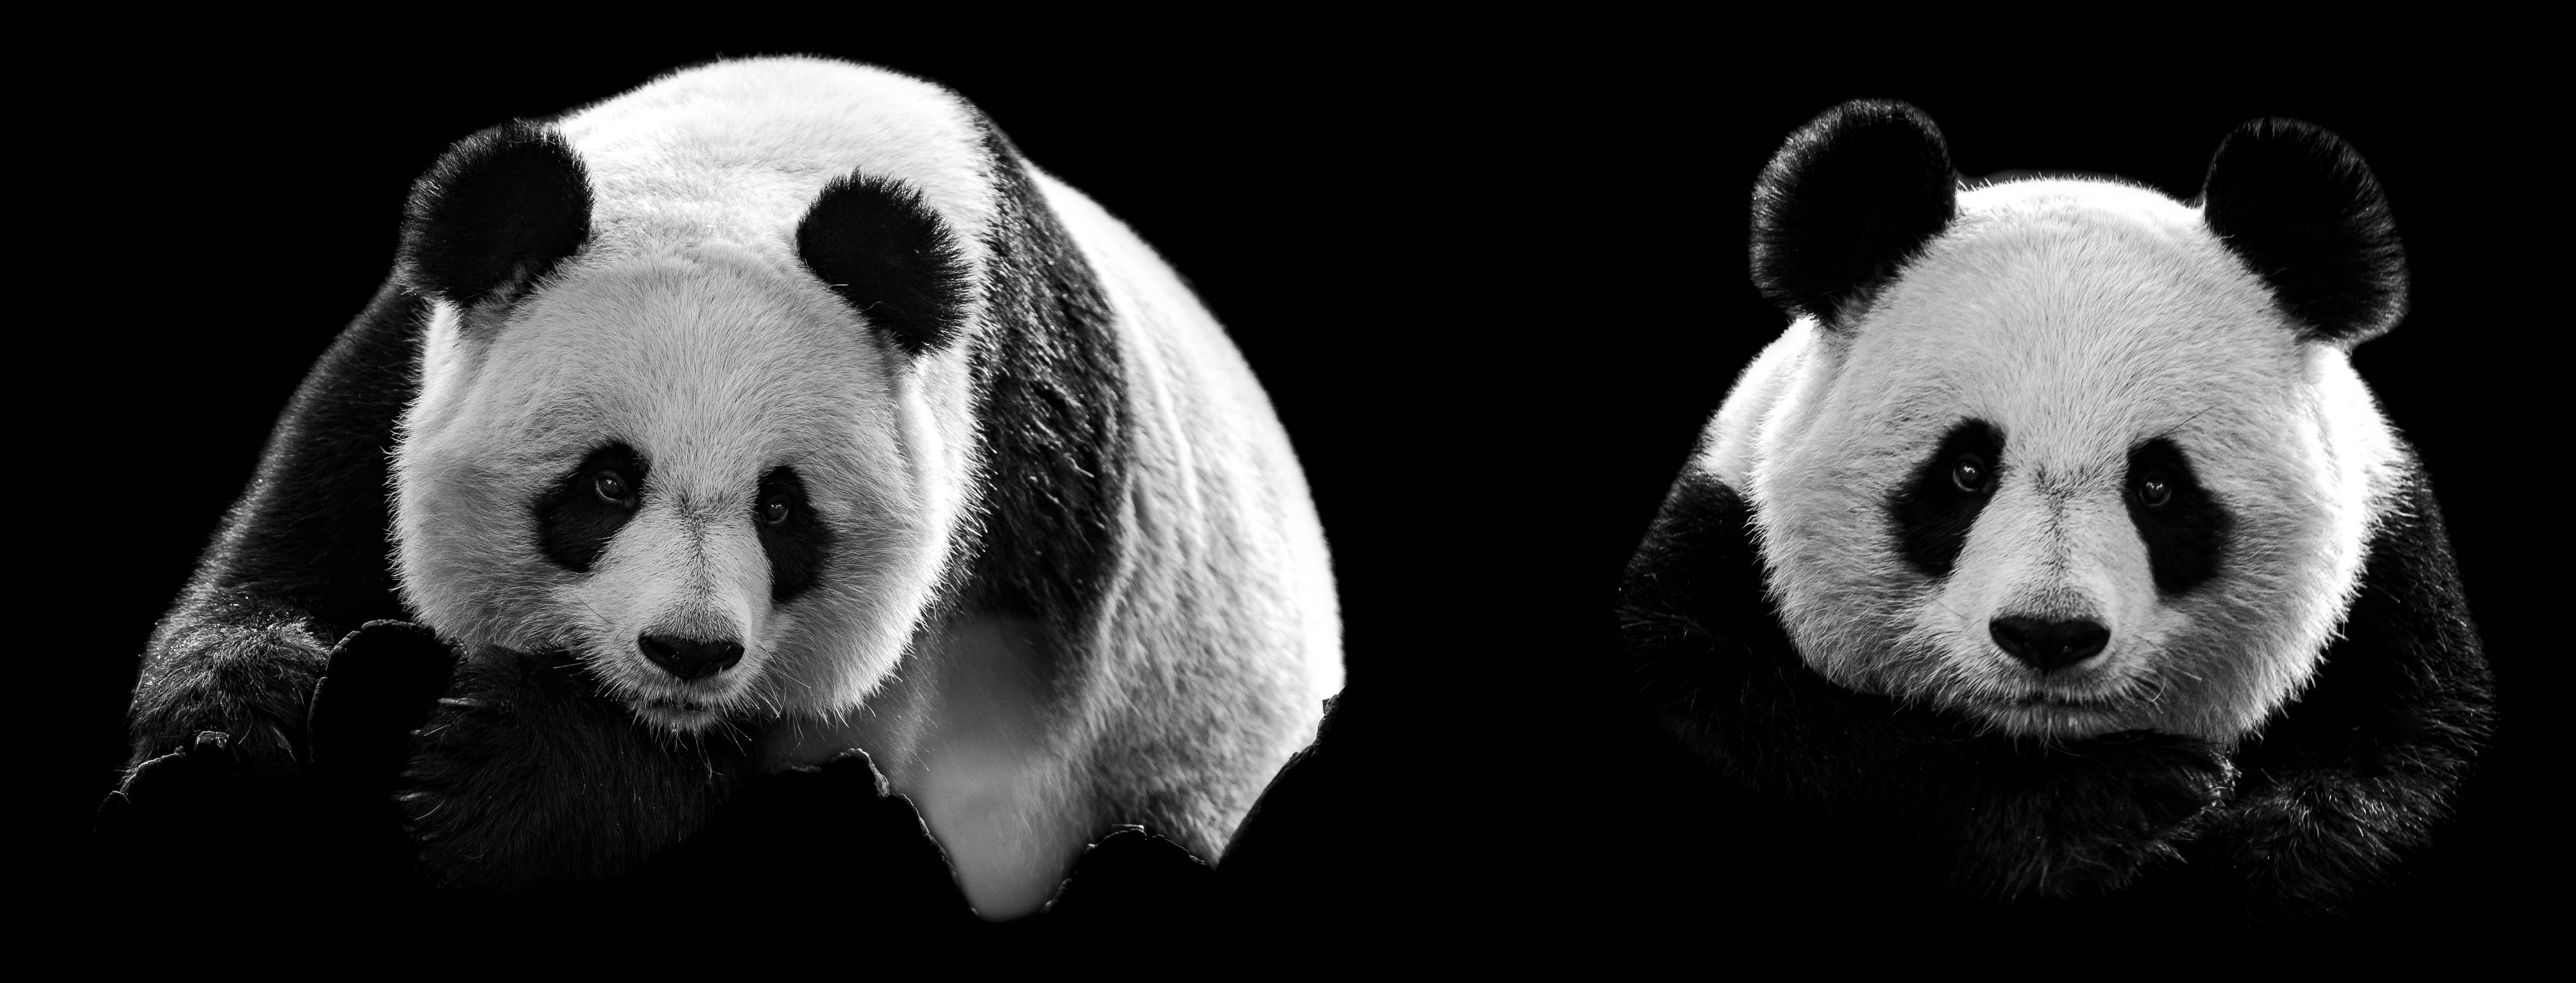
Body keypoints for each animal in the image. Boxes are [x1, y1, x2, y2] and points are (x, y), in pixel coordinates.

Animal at [120, 56, 1342, 918]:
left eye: (783, 508)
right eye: (607, 483)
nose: (689, 652)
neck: (766, 158)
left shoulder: (1003, 507)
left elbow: (852, 741)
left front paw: (489, 772)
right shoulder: (401, 370)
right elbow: (290, 559)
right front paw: (224, 748)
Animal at [1618, 100, 2493, 915]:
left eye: (2158, 486)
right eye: (1965, 471)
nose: (2048, 634)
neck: (2050, 739)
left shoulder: (2394, 610)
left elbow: (2392, 768)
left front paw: (2242, 844)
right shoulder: (1718, 539)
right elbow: (1755, 716)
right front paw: (2114, 805)